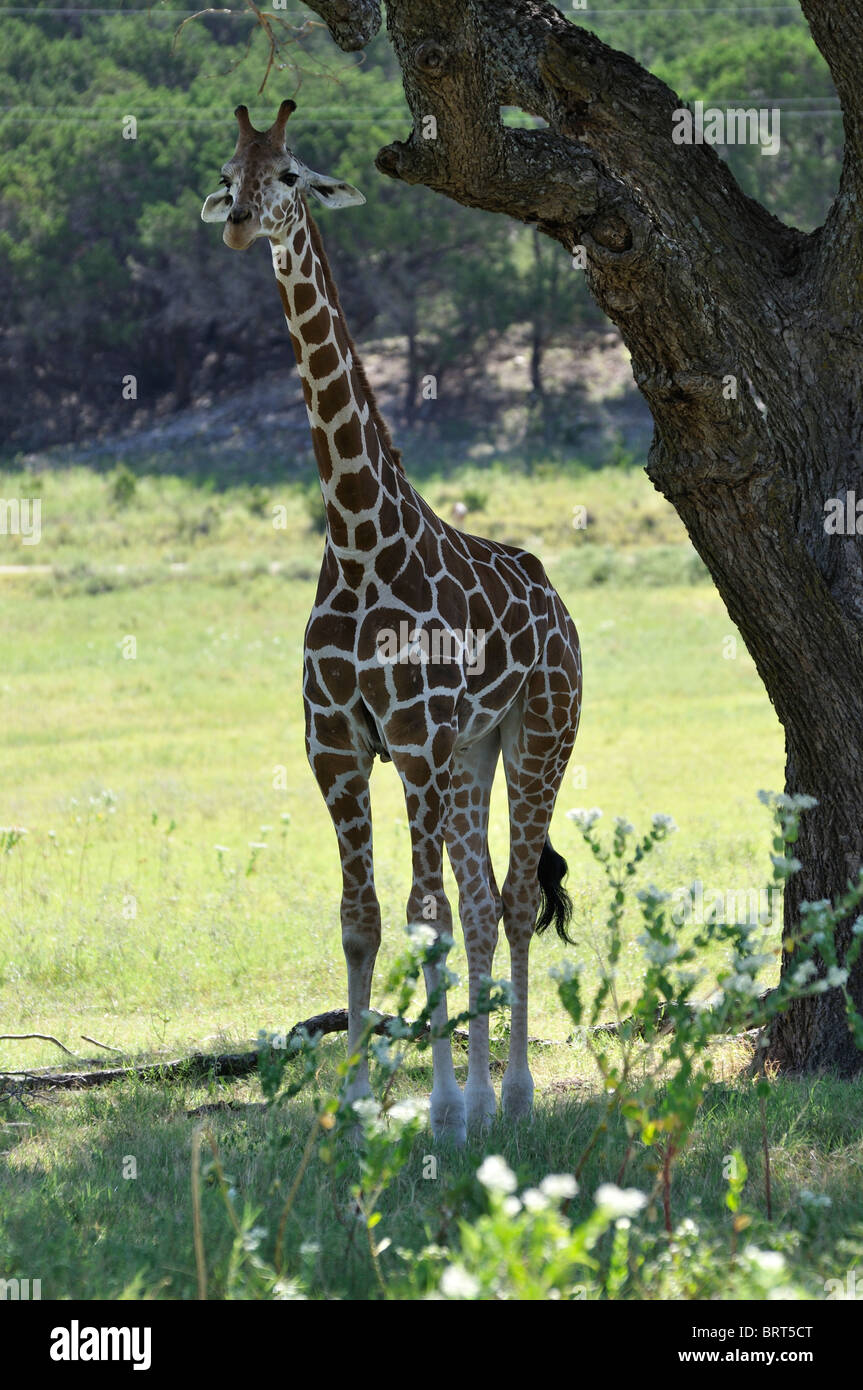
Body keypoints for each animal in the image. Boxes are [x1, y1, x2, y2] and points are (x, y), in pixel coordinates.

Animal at [201, 101, 583, 1144]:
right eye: (229, 173)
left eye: (290, 174)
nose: (239, 225)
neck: (359, 538)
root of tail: (559, 603)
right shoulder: (335, 743)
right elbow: (364, 917)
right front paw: (360, 1104)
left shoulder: (410, 739)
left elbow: (421, 915)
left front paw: (442, 1107)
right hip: (473, 751)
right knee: (484, 897)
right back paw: (487, 1099)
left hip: (539, 732)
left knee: (514, 897)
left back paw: (508, 1098)